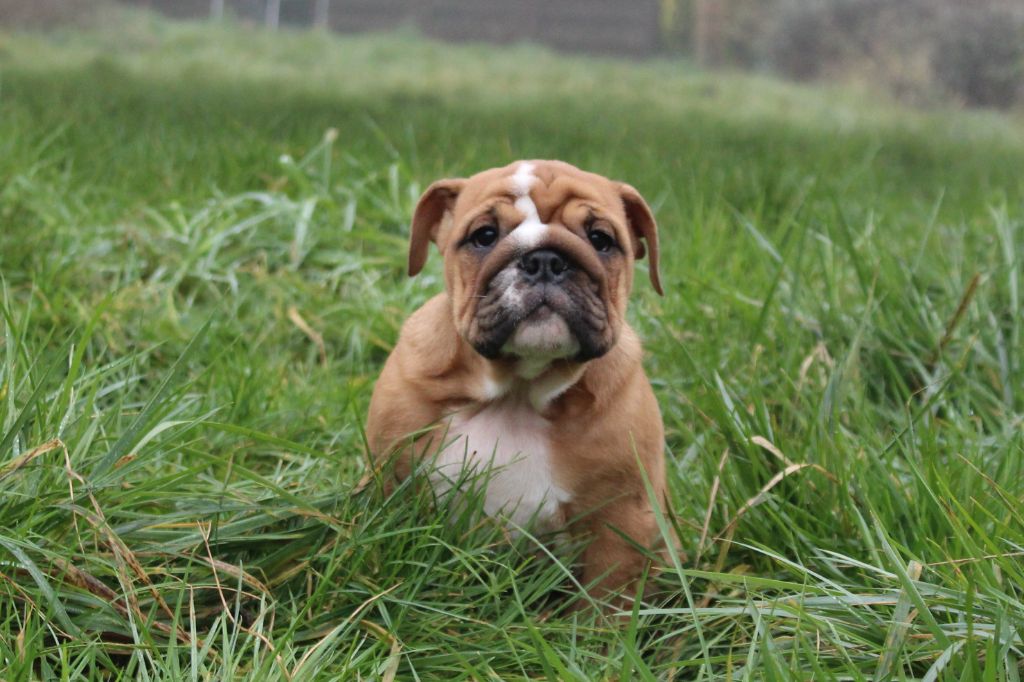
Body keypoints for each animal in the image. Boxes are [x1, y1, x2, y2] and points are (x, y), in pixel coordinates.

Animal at [366, 160, 667, 607]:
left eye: (601, 239)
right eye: (485, 236)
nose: (545, 260)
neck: (519, 390)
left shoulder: (621, 521)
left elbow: (605, 600)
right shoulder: (392, 479)